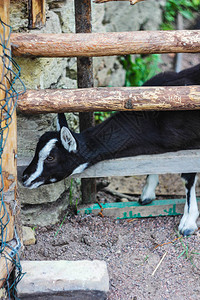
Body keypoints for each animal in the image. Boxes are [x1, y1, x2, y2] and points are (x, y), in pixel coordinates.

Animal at [22, 63, 200, 237]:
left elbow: (187, 178)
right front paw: (147, 194)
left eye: (50, 158)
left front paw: (188, 223)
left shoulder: (192, 143)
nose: (24, 177)